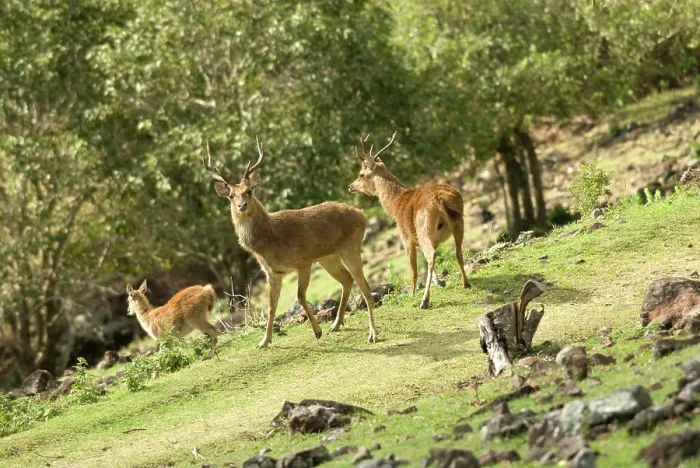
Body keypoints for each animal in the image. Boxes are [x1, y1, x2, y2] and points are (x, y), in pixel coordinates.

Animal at [204, 137, 378, 348]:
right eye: (231, 196)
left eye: (249, 191)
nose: (241, 205)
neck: (271, 241)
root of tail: (362, 214)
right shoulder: (273, 272)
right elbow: (271, 306)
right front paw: (264, 341)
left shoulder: (303, 263)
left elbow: (300, 297)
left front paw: (317, 331)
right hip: (328, 258)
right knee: (347, 280)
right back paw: (336, 324)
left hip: (351, 248)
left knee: (365, 287)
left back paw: (373, 334)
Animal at [349, 132, 470, 309]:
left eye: (361, 174)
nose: (350, 186)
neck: (395, 206)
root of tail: (439, 199)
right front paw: (440, 281)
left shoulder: (406, 238)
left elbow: (413, 270)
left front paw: (412, 294)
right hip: (458, 221)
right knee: (457, 252)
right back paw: (466, 283)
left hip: (423, 227)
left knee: (430, 255)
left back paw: (424, 301)